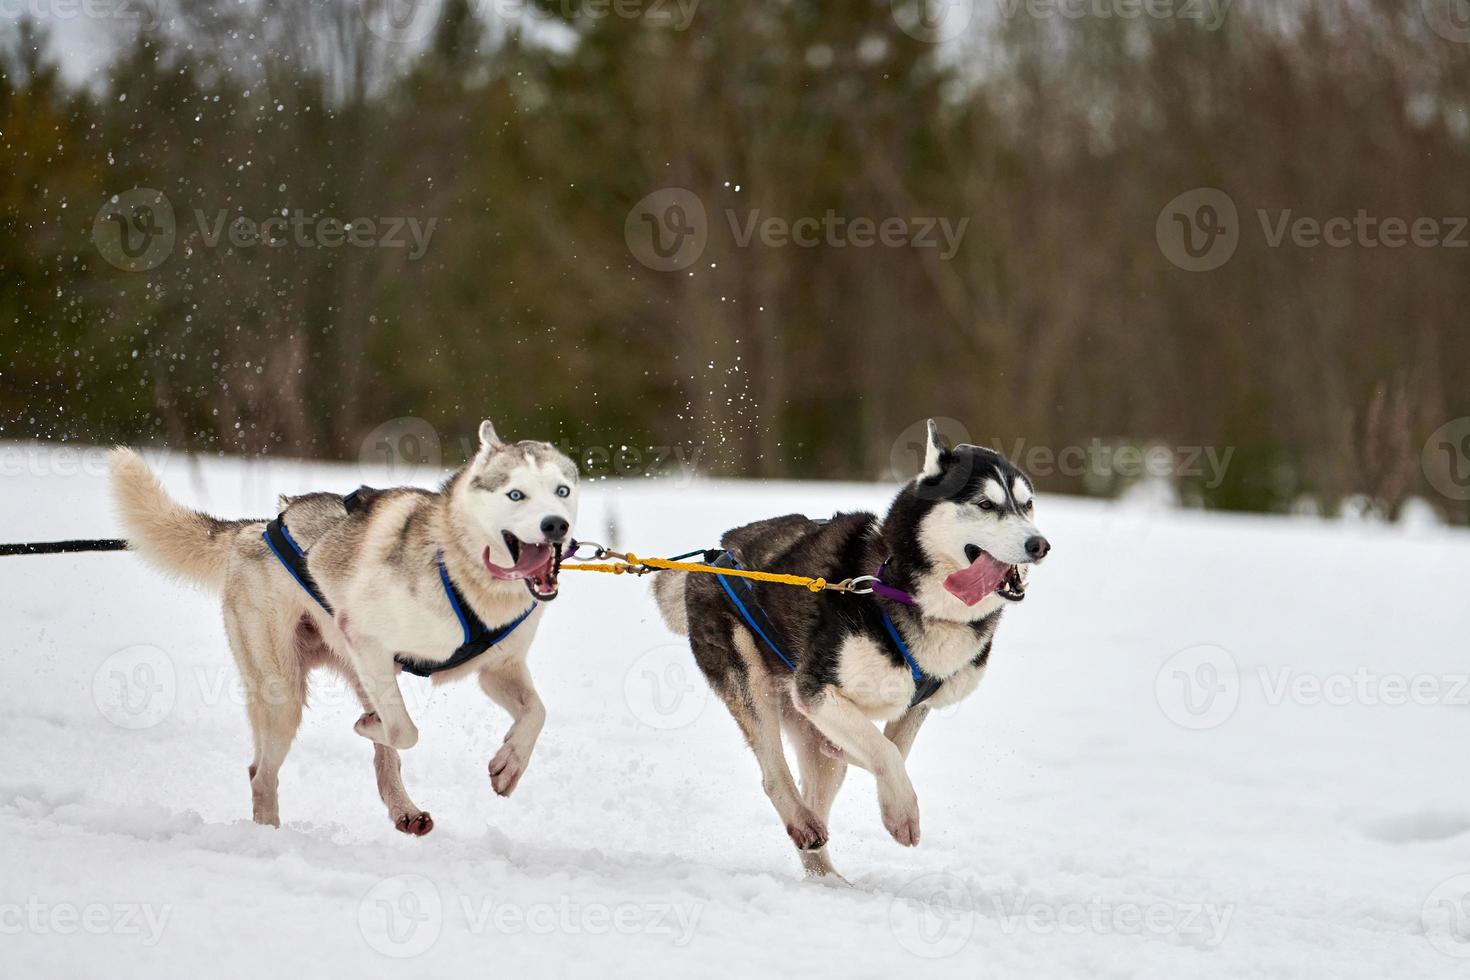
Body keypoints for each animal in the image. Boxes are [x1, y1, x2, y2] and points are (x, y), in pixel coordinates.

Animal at [108, 423, 576, 834]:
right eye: (515, 494)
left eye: (562, 491)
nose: (556, 525)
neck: (466, 574)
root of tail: (256, 528)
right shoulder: (369, 641)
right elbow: (404, 730)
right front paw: (368, 725)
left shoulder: (498, 669)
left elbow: (536, 712)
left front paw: (510, 762)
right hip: (284, 695)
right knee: (261, 773)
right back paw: (268, 833)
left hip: (359, 673)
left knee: (381, 760)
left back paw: (404, 810)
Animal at [652, 417, 1046, 875]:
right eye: (985, 504)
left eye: (1028, 505)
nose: (1040, 544)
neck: (902, 588)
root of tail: (712, 556)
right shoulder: (816, 689)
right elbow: (885, 752)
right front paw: (902, 812)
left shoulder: (912, 705)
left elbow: (892, 749)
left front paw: (877, 782)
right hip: (750, 677)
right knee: (774, 773)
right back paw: (802, 822)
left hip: (805, 724)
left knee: (821, 780)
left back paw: (830, 878)